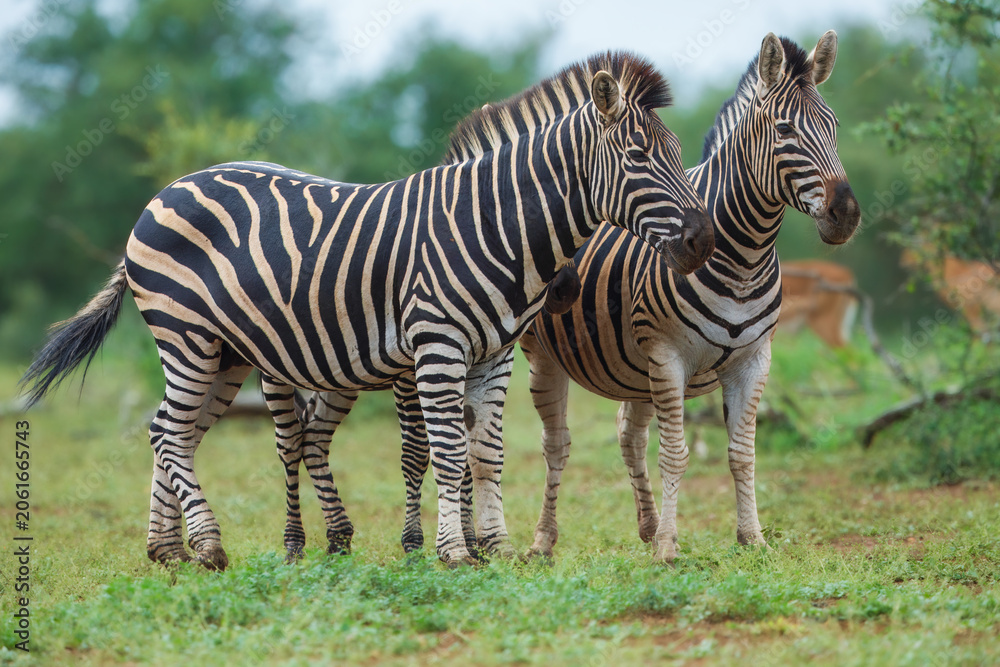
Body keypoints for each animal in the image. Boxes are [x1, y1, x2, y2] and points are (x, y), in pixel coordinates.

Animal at [20, 51, 714, 569]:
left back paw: (169, 549)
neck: (491, 226)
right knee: (169, 430)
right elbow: (444, 451)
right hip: (185, 335)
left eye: (680, 155)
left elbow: (485, 453)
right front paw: (452, 552)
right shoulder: (436, 347)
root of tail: (167, 190)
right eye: (638, 159)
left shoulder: (493, 356)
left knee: (174, 430)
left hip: (226, 353)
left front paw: (496, 545)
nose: (703, 241)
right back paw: (209, 546)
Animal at [520, 31, 860, 562]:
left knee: (628, 436)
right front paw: (668, 548)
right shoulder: (669, 355)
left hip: (633, 367)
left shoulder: (752, 360)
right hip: (544, 354)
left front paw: (752, 538)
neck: (744, 256)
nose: (845, 214)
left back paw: (645, 525)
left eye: (834, 126)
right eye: (784, 129)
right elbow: (676, 454)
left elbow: (742, 453)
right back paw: (542, 541)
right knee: (554, 443)